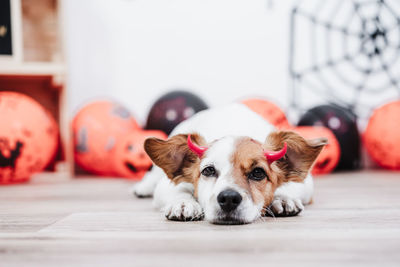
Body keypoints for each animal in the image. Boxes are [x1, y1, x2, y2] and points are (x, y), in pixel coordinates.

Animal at [133, 103, 326, 225]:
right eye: (208, 171)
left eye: (258, 172)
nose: (228, 199)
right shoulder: (166, 186)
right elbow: (178, 191)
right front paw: (183, 203)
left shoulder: (305, 183)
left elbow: (287, 187)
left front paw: (284, 199)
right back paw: (142, 188)